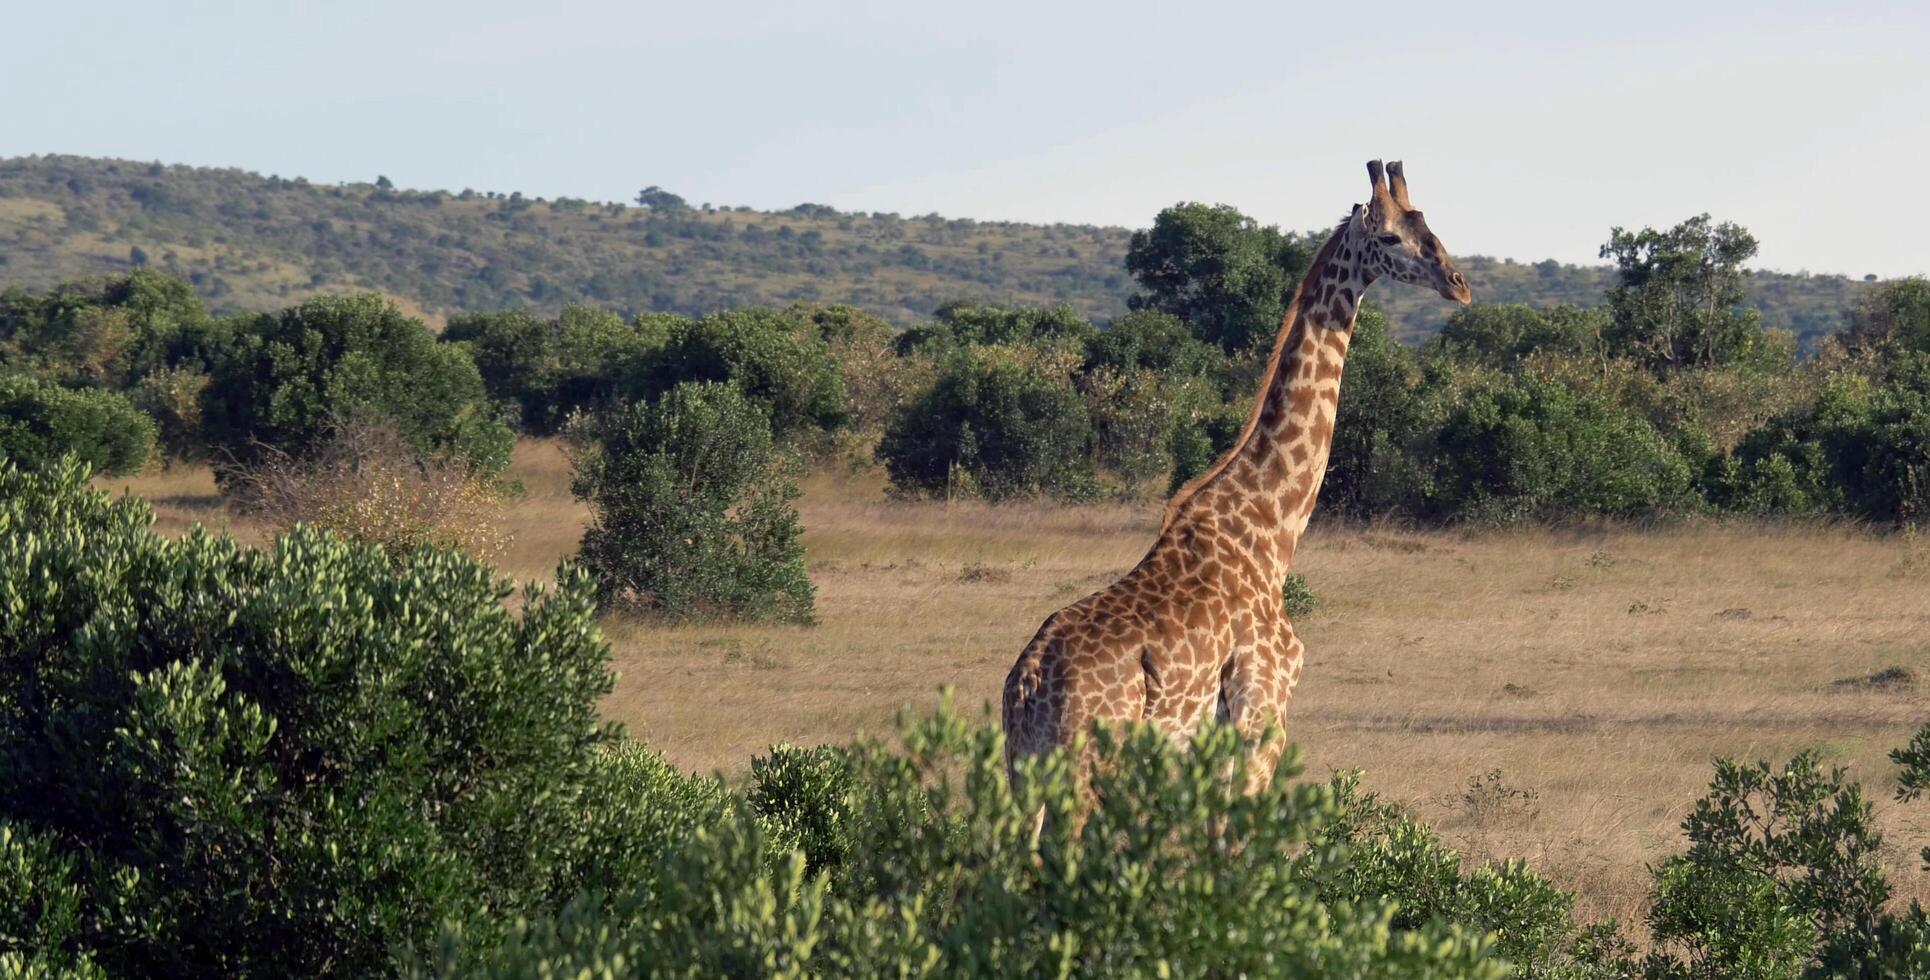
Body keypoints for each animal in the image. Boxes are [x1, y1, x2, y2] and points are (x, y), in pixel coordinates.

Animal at [1003, 157, 1466, 790]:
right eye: (1393, 237)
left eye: (1429, 224)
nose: (1458, 283)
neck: (1271, 528)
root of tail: (1024, 686)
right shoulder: (1261, 713)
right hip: (1089, 766)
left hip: (1022, 771)